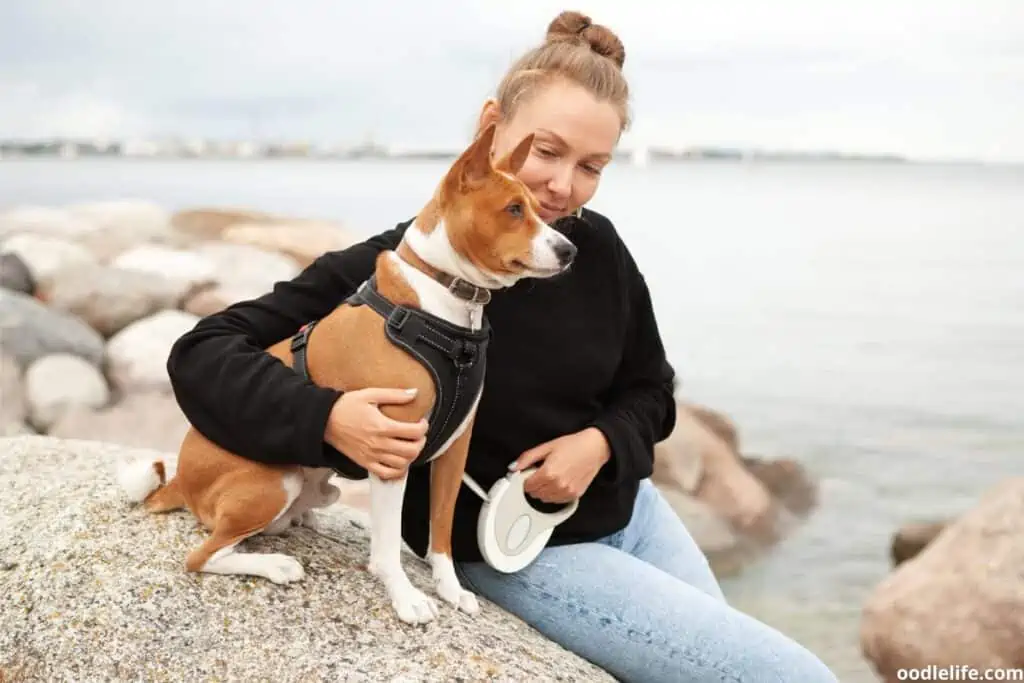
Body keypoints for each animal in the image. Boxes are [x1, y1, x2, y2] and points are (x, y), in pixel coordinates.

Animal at [117, 122, 581, 626]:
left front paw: (449, 588)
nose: (570, 250)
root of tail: (181, 478)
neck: (444, 306)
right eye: (514, 209)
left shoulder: (454, 450)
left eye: (539, 209)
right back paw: (275, 565)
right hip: (274, 481)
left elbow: (440, 532)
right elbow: (388, 547)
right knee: (203, 556)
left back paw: (301, 521)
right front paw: (405, 596)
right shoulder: (393, 450)